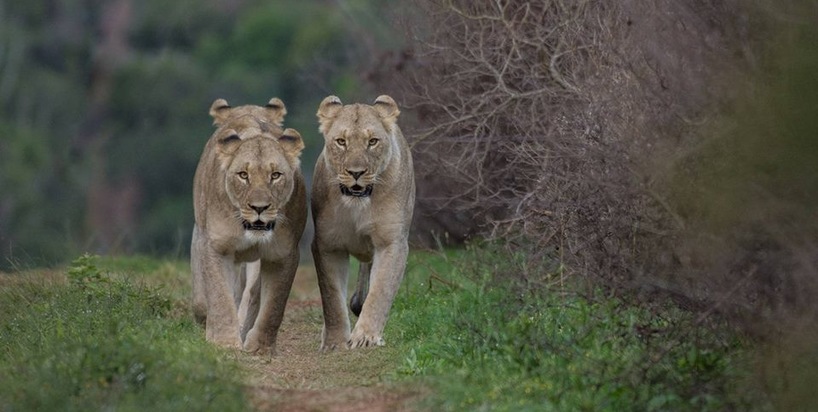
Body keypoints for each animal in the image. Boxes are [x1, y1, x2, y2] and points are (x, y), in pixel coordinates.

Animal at [190, 97, 307, 355]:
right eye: (243, 175)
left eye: (276, 175)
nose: (259, 208)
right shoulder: (213, 244)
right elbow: (219, 295)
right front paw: (223, 341)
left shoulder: (284, 254)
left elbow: (274, 305)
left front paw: (259, 347)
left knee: (252, 294)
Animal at [311, 95, 415, 350]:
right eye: (341, 142)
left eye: (373, 142)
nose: (356, 172)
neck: (357, 206)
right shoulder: (326, 245)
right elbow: (331, 297)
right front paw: (335, 342)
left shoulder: (391, 242)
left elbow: (381, 291)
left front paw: (365, 337)